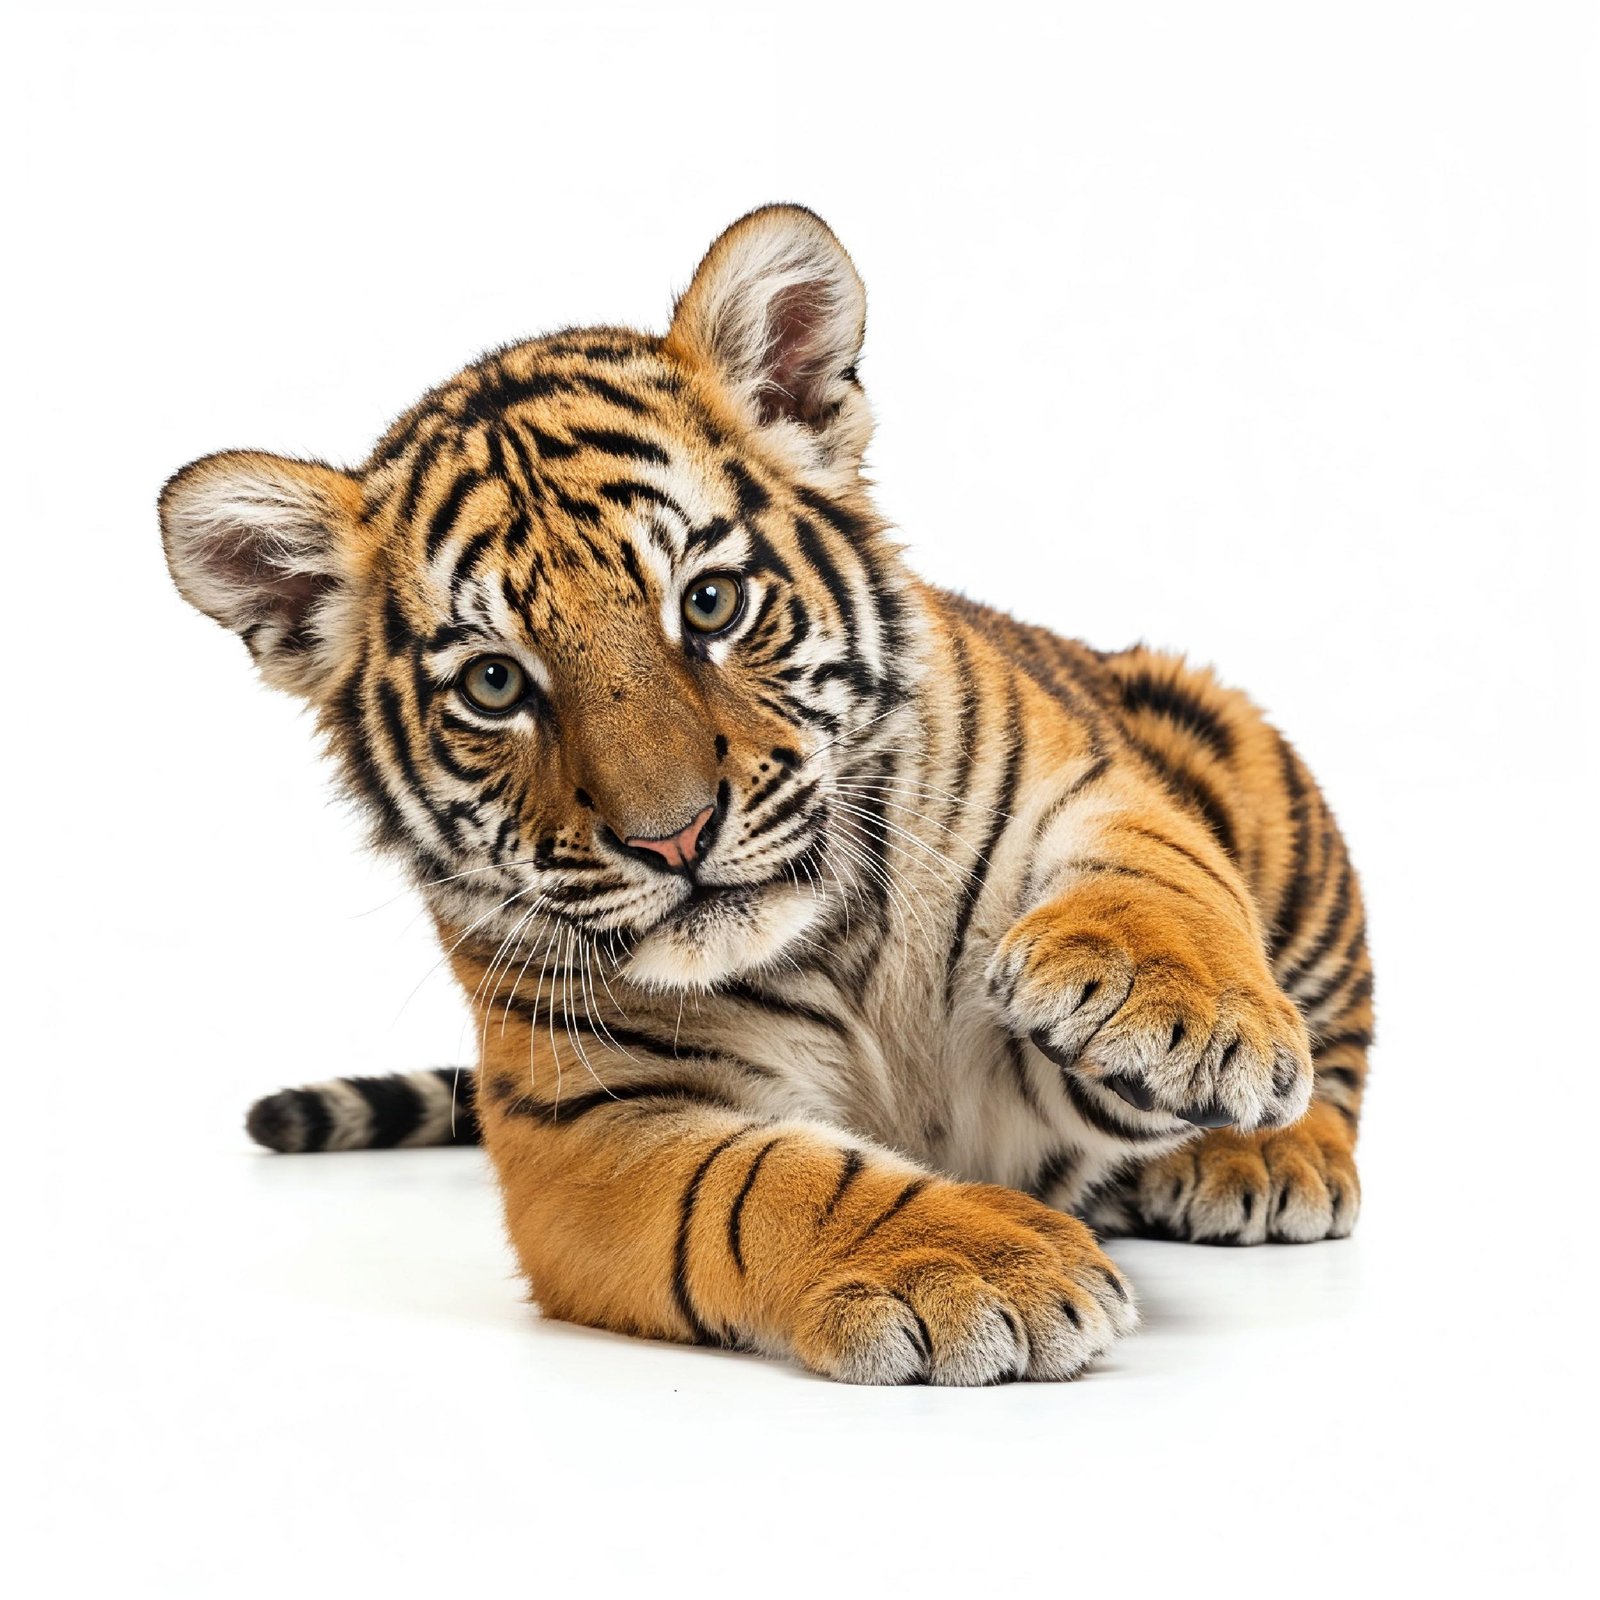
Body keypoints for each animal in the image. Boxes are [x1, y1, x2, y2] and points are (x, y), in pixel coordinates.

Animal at [159, 204, 1371, 1385]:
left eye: (710, 602)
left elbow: (1157, 865)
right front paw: (974, 1263)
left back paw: (1268, 1155)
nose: (674, 836)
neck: (831, 954)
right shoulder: (581, 1127)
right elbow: (764, 1184)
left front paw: (1181, 1017)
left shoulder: (1072, 785)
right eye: (495, 683)